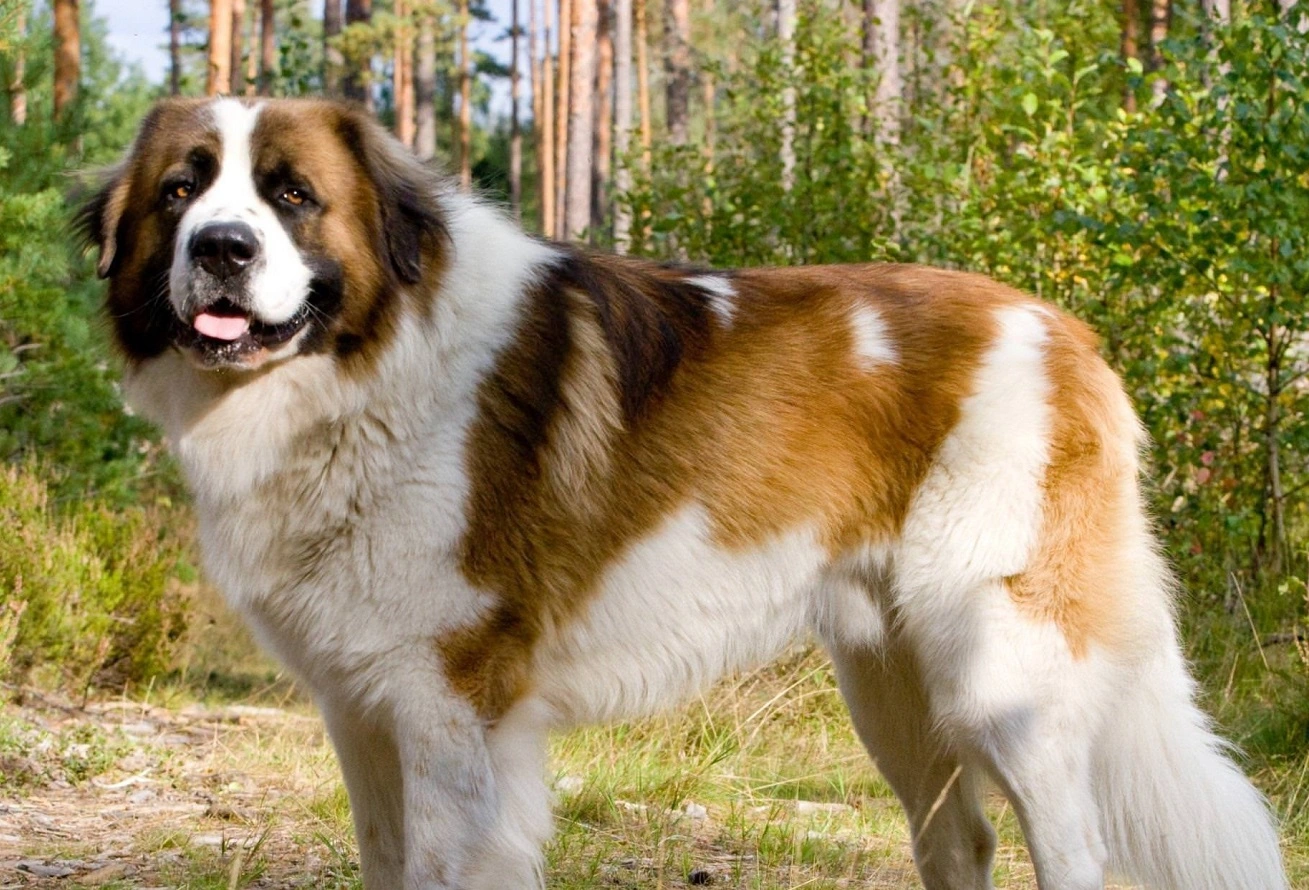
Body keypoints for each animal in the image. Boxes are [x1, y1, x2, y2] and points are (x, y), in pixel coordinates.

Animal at [81, 97, 1288, 890]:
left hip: (1000, 669)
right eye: (183, 191)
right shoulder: (363, 705)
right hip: (894, 686)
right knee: (960, 839)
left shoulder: (452, 710)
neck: (359, 371)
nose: (222, 248)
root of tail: (1066, 333)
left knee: (1068, 844)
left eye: (292, 197)